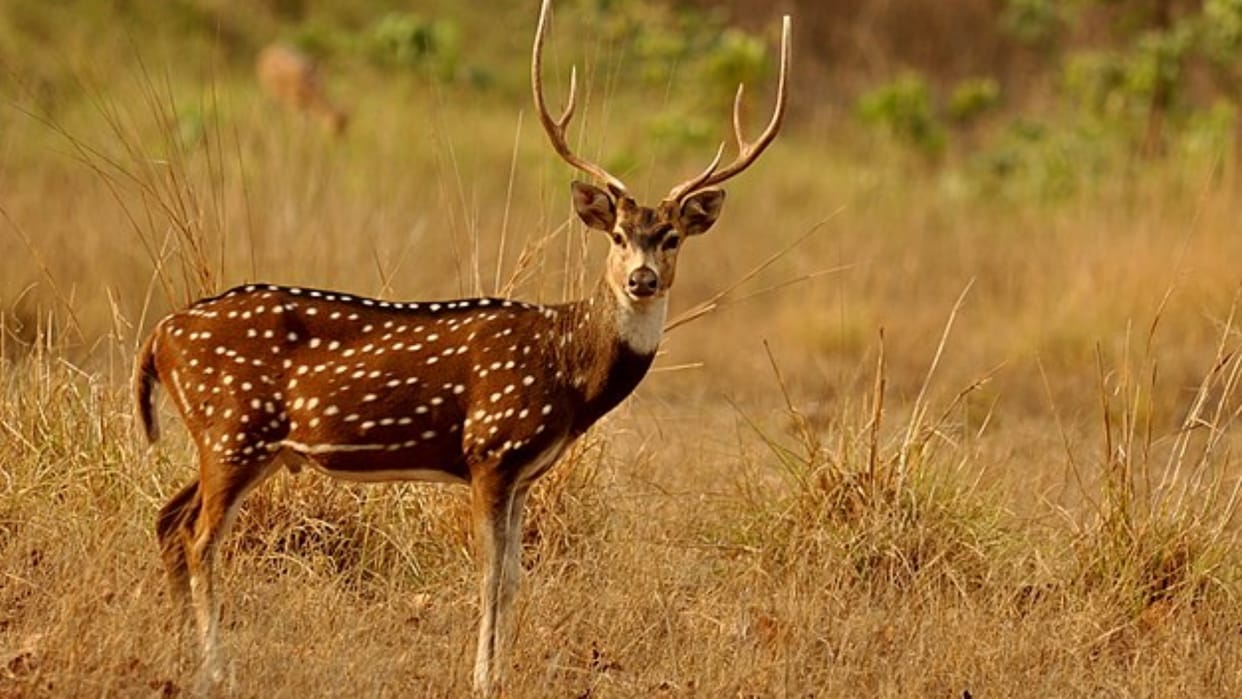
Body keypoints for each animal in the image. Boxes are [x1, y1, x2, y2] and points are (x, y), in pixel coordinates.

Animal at [135, 1, 789, 694]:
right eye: (616, 235)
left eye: (671, 238)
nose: (641, 280)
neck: (567, 370)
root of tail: (159, 336)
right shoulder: (491, 448)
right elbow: (489, 576)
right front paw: (483, 677)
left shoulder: (526, 471)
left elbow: (515, 578)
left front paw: (501, 670)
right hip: (234, 429)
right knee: (200, 538)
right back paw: (216, 668)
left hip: (234, 441)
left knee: (169, 520)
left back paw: (182, 652)